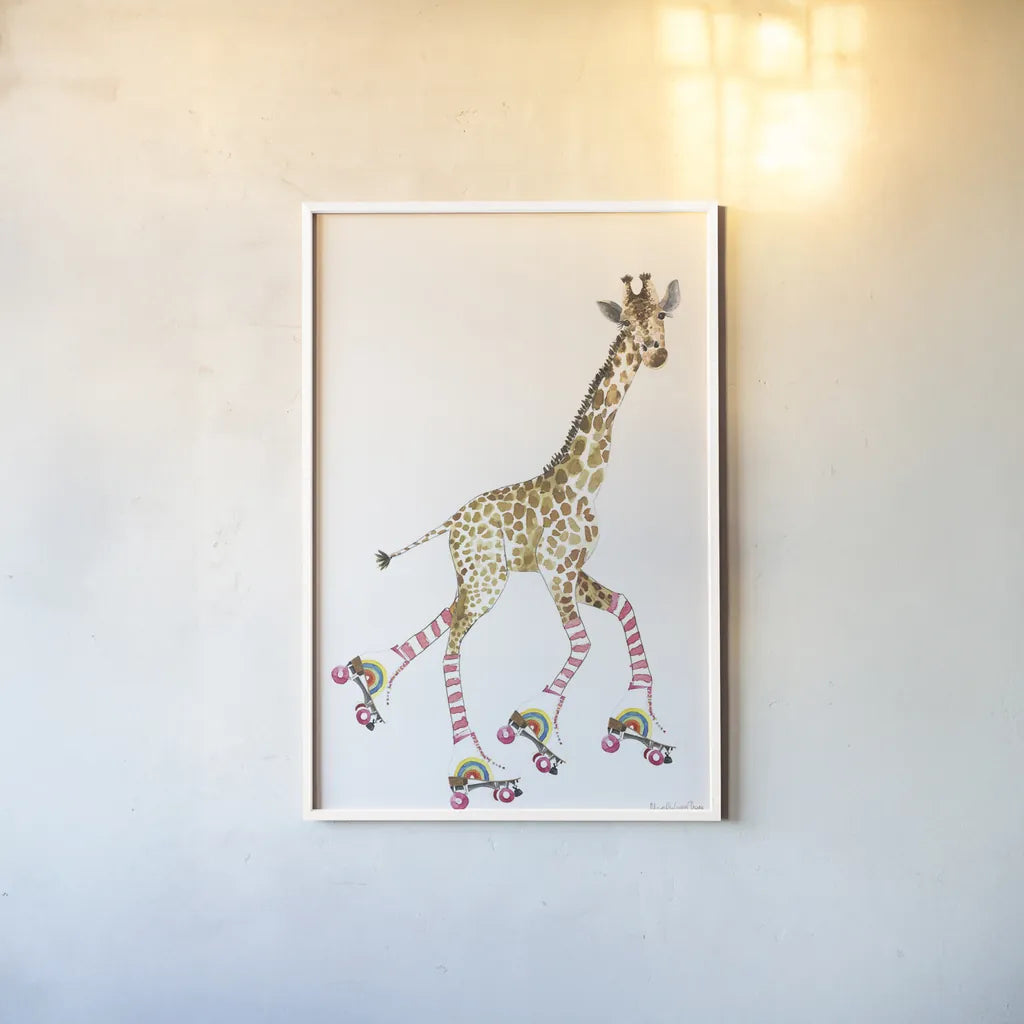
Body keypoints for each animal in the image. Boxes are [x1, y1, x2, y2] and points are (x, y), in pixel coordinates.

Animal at [332, 273, 680, 809]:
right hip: (487, 583)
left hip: (476, 577)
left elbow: (624, 606)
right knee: (451, 646)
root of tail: (452, 522)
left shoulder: (573, 569)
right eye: (626, 321)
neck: (584, 482)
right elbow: (582, 641)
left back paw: (370, 680)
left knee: (443, 622)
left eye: (661, 314)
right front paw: (534, 727)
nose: (655, 352)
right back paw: (472, 767)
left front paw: (634, 722)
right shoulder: (557, 569)